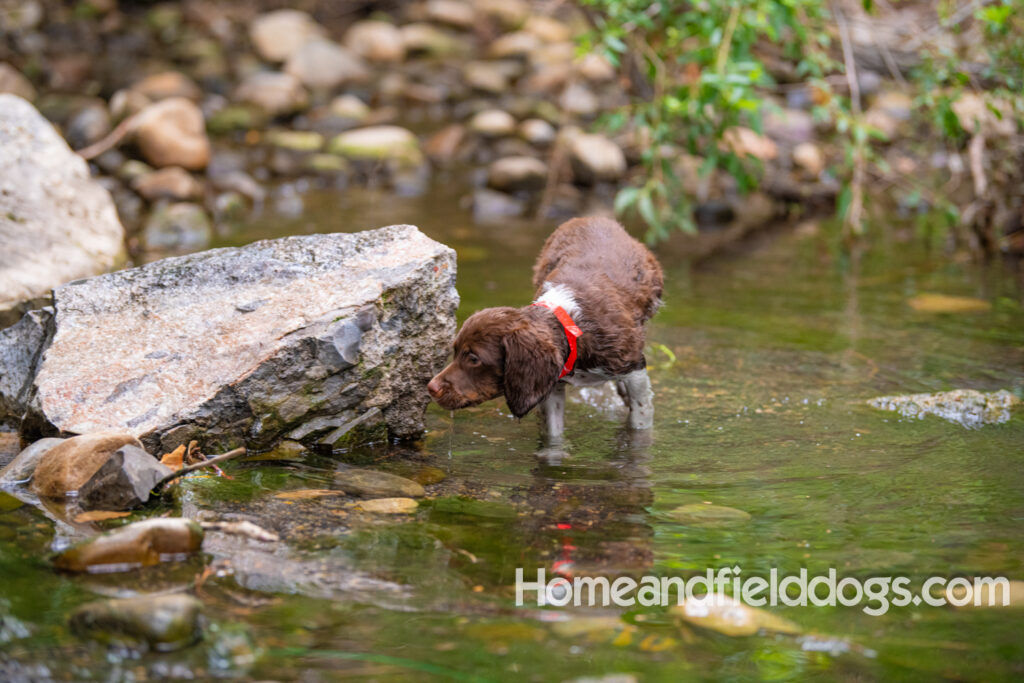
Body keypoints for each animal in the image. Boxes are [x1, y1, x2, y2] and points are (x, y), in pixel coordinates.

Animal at [425, 216, 659, 436]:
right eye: (454, 351)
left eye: (474, 359)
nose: (431, 387)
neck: (573, 327)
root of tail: (592, 218)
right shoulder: (552, 385)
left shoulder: (633, 367)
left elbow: (640, 417)